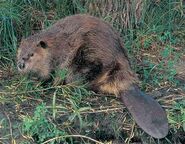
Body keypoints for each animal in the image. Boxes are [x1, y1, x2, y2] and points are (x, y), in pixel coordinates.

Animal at [16, 14, 168, 138]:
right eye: (20, 51)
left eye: (31, 54)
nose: (20, 64)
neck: (55, 45)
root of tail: (128, 87)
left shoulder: (59, 58)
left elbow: (51, 74)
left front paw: (40, 82)